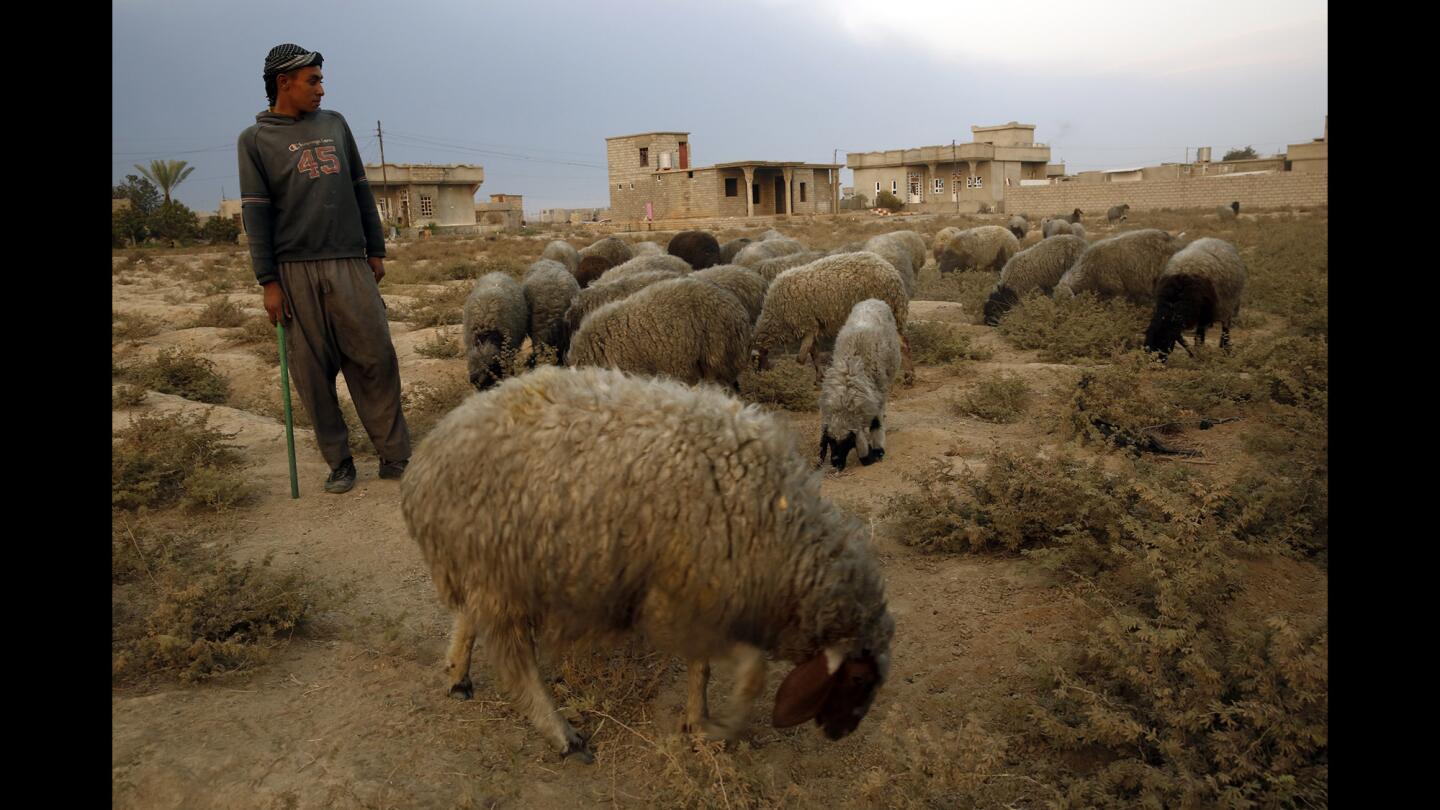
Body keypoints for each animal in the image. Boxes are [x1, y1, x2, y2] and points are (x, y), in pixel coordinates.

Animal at [400, 363, 892, 760]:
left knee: (469, 615)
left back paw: (457, 675)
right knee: (518, 666)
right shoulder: (679, 602)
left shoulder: (704, 595)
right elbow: (746, 673)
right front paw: (718, 727)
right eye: (859, 679)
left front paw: (699, 721)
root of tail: (427, 456)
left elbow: (703, 668)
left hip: (487, 565)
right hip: (504, 569)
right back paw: (563, 735)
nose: (842, 732)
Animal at [748, 249, 904, 380]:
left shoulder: (808, 325)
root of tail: (892, 272)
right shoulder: (813, 328)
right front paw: (819, 377)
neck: (776, 315)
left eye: (755, 361)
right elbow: (814, 353)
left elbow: (801, 358)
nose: (757, 376)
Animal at [823, 299, 898, 469]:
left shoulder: (877, 396)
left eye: (847, 442)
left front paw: (878, 450)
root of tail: (873, 299)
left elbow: (876, 424)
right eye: (830, 441)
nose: (835, 462)